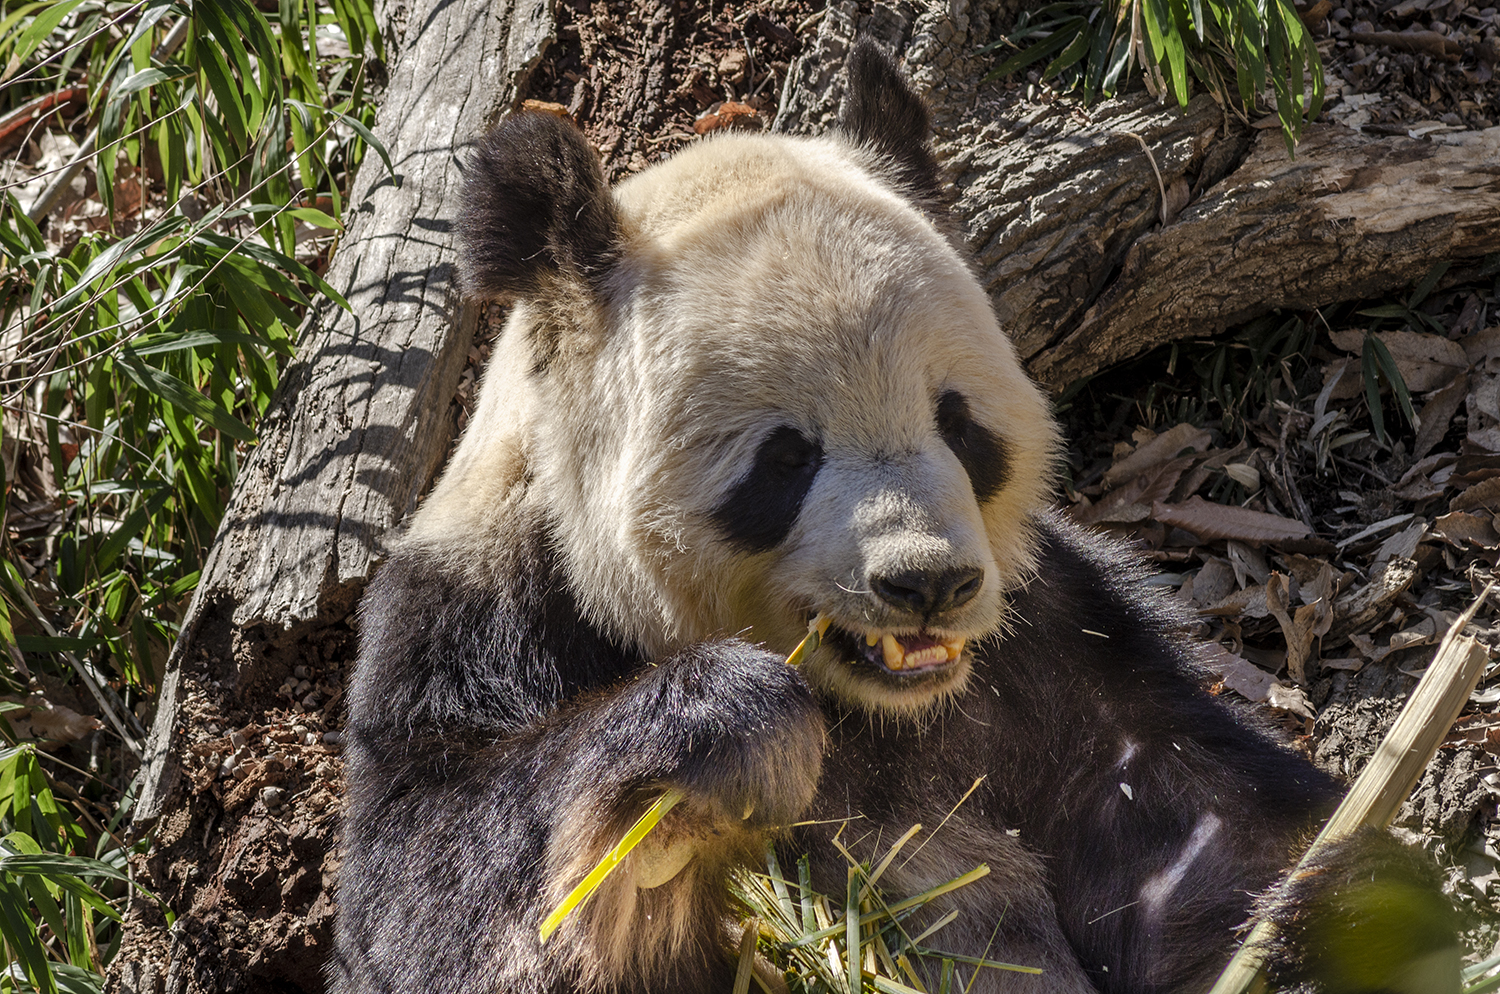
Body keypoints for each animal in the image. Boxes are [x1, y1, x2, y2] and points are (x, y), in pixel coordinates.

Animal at [331, 39, 1461, 994]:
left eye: (957, 422)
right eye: (785, 459)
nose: (927, 584)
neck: (878, 710)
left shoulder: (1055, 644)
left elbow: (1186, 834)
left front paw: (1334, 906)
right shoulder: (486, 617)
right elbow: (438, 894)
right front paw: (725, 729)